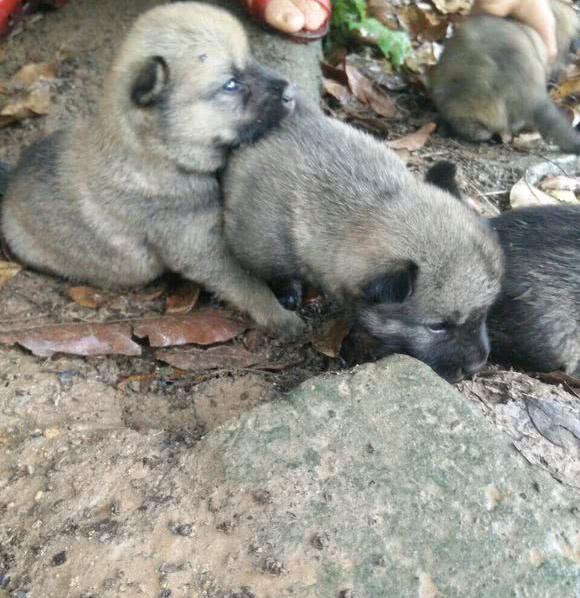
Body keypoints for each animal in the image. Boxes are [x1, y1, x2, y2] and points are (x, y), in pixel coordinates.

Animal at [3, 1, 304, 338]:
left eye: (251, 60)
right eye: (231, 84)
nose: (291, 92)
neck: (161, 153)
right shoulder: (200, 248)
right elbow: (247, 283)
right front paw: (278, 315)